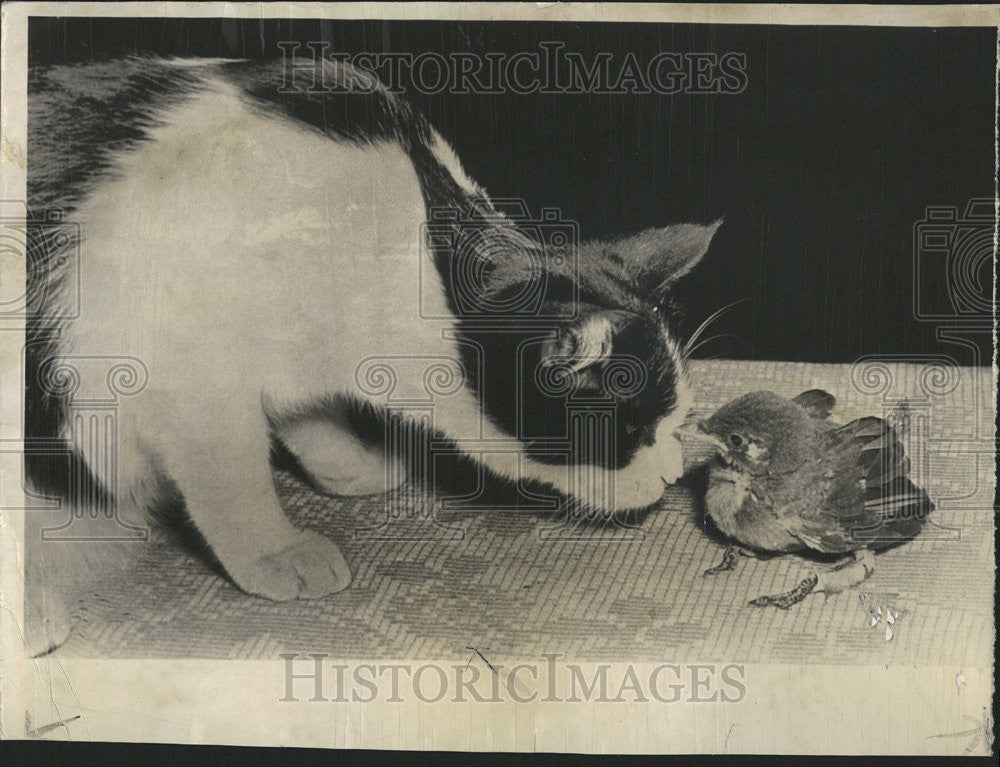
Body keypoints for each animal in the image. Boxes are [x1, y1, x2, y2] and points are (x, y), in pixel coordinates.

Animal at [23, 55, 724, 656]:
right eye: (629, 431)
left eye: (675, 422)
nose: (671, 475)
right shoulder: (193, 381)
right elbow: (233, 476)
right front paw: (274, 548)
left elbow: (303, 414)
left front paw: (348, 461)